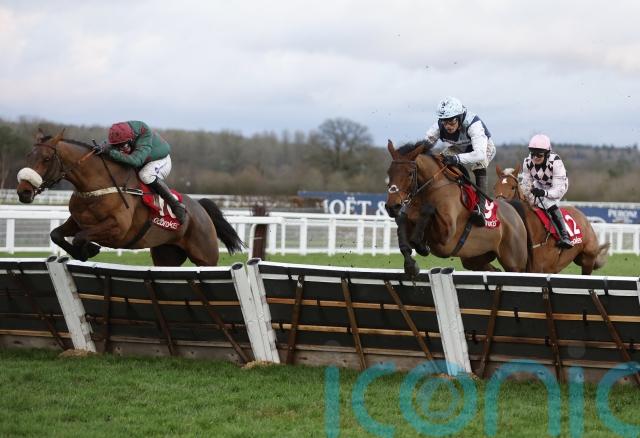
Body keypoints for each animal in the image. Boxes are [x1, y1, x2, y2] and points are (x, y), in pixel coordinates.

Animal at [16, 130, 243, 266]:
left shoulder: (118, 229)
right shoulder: (78, 221)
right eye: (28, 156)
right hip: (166, 255)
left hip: (206, 257)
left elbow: (81, 237)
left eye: (46, 159)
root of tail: (200, 208)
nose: (23, 191)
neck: (97, 186)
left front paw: (88, 250)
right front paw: (85, 250)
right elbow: (56, 234)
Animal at [385, 140, 528, 275]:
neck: (432, 187)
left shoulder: (445, 236)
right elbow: (403, 236)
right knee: (494, 270)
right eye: (389, 172)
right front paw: (411, 265)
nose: (392, 206)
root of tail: (513, 211)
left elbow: (428, 211)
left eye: (409, 173)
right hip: (475, 258)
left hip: (515, 264)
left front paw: (421, 246)